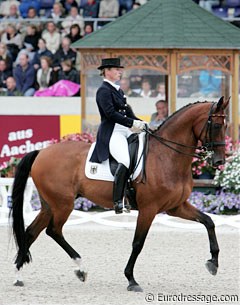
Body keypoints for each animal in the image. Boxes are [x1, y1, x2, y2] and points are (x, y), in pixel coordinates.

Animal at [10, 97, 230, 290]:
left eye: (226, 126)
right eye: (216, 126)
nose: (219, 161)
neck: (167, 156)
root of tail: (41, 152)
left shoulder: (176, 207)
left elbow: (209, 221)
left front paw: (213, 262)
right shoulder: (149, 209)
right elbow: (138, 243)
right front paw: (131, 279)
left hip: (50, 204)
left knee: (31, 232)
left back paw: (18, 276)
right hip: (63, 204)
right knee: (53, 231)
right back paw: (81, 269)